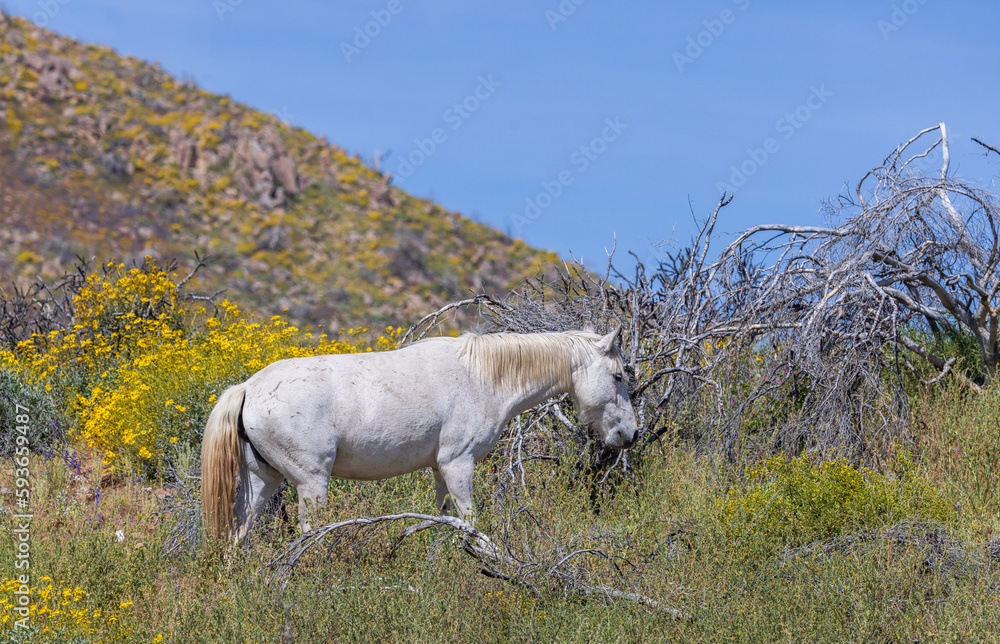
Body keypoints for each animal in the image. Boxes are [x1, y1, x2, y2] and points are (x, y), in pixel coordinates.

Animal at [201, 327, 639, 542]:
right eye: (618, 376)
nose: (630, 433)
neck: (482, 376)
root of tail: (247, 388)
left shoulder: (439, 471)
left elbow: (444, 520)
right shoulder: (458, 465)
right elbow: (471, 523)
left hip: (263, 481)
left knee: (238, 536)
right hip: (311, 483)